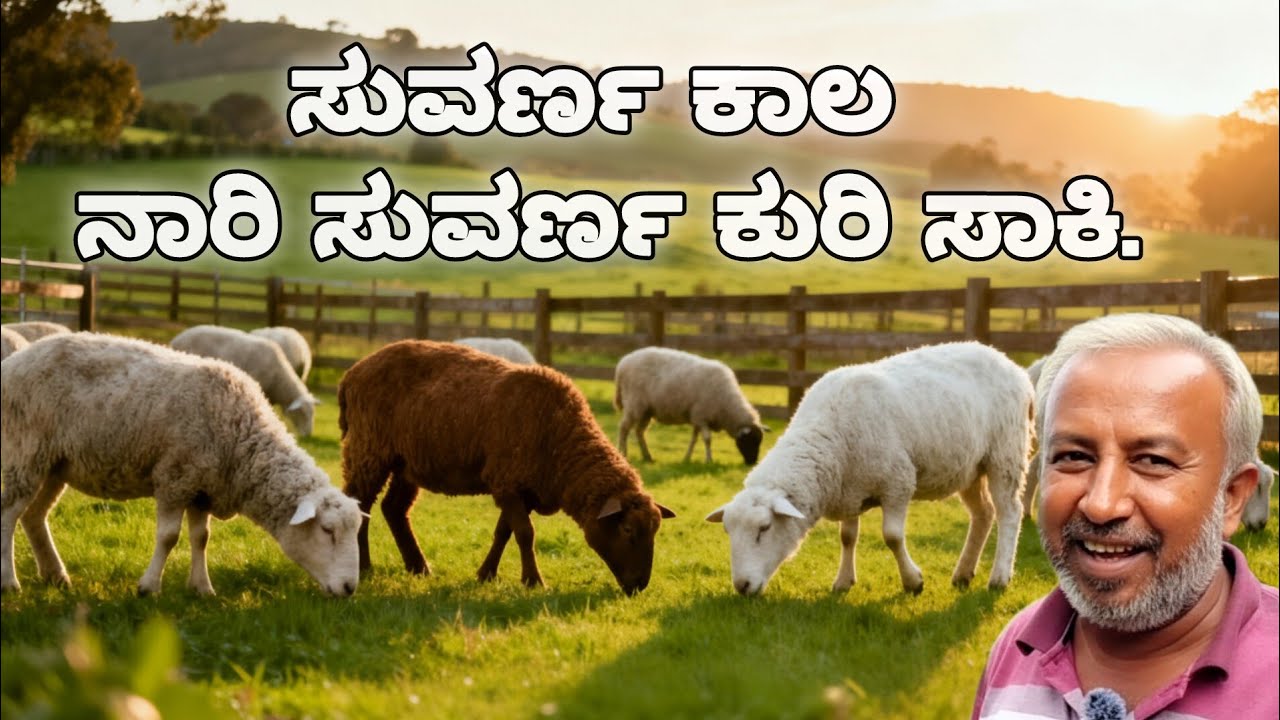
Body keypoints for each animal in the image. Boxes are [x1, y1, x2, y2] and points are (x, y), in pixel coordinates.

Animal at [339, 340, 675, 595]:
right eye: (628, 529)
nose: (639, 586)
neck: (560, 442)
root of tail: (353, 372)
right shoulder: (508, 484)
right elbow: (525, 534)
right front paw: (533, 581)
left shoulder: (516, 487)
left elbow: (504, 532)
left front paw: (486, 574)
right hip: (369, 451)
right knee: (359, 506)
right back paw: (363, 566)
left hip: (407, 463)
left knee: (394, 509)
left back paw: (419, 568)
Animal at [614, 347, 767, 466]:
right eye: (750, 441)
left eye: (759, 441)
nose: (752, 463)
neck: (726, 404)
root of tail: (622, 363)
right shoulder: (702, 416)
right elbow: (707, 439)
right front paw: (709, 460)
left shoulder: (697, 417)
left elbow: (694, 439)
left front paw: (687, 458)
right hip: (633, 404)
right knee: (624, 428)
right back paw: (623, 453)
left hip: (646, 410)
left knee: (639, 432)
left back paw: (648, 457)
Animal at [707, 342, 1033, 595]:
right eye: (727, 530)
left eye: (764, 528)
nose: (742, 586)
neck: (828, 437)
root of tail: (1010, 364)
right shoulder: (849, 489)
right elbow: (848, 537)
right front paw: (843, 582)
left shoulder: (898, 482)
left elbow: (892, 536)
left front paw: (913, 582)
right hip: (970, 467)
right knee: (983, 514)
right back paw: (963, 573)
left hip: (1005, 453)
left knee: (1009, 512)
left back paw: (999, 577)